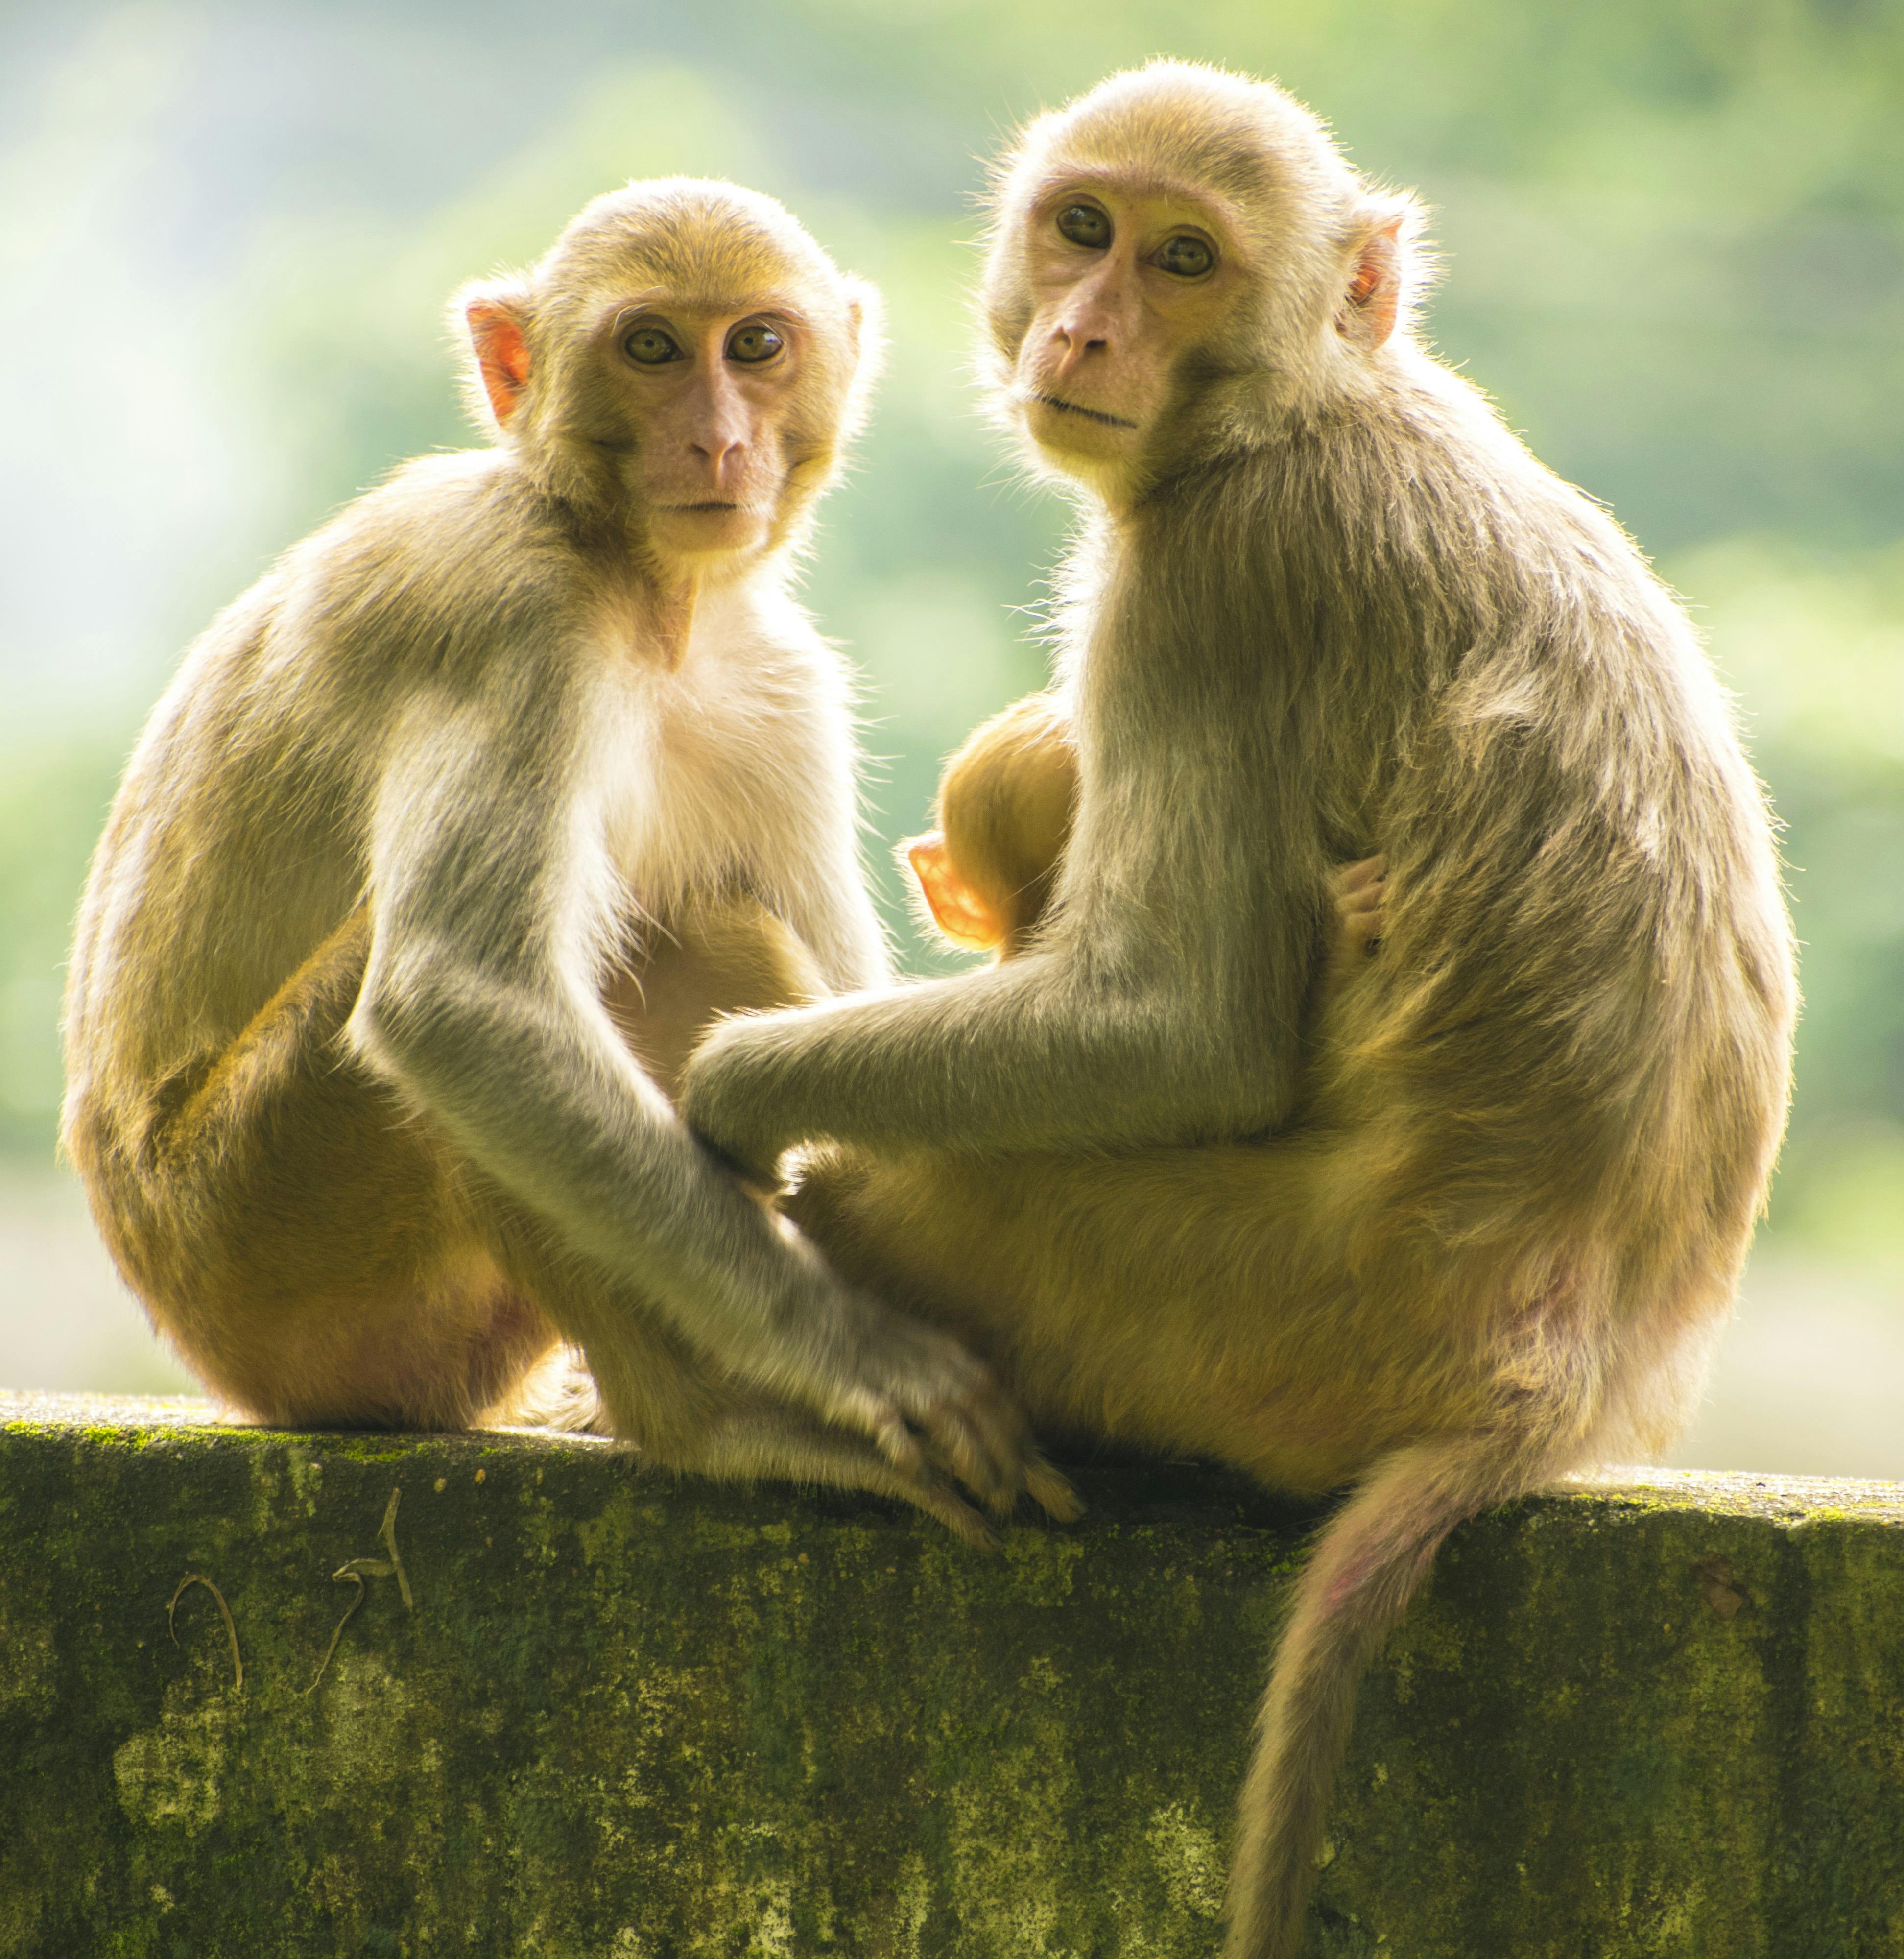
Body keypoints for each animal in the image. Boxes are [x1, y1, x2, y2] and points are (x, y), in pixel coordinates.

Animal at [60, 177, 1076, 1549]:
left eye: (756, 345)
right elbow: (458, 1001)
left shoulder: (783, 683)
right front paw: (862, 1352)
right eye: (650, 347)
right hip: (265, 1251)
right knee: (587, 972)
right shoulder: (504, 608)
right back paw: (707, 1421)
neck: (645, 591)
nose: (719, 444)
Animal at [682, 65, 1796, 1959]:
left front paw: (733, 1091)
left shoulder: (1215, 578)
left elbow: (1178, 1028)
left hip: (1232, 1314)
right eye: (1083, 227)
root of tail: (1556, 1379)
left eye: (1184, 258)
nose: (1087, 323)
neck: (1304, 405)